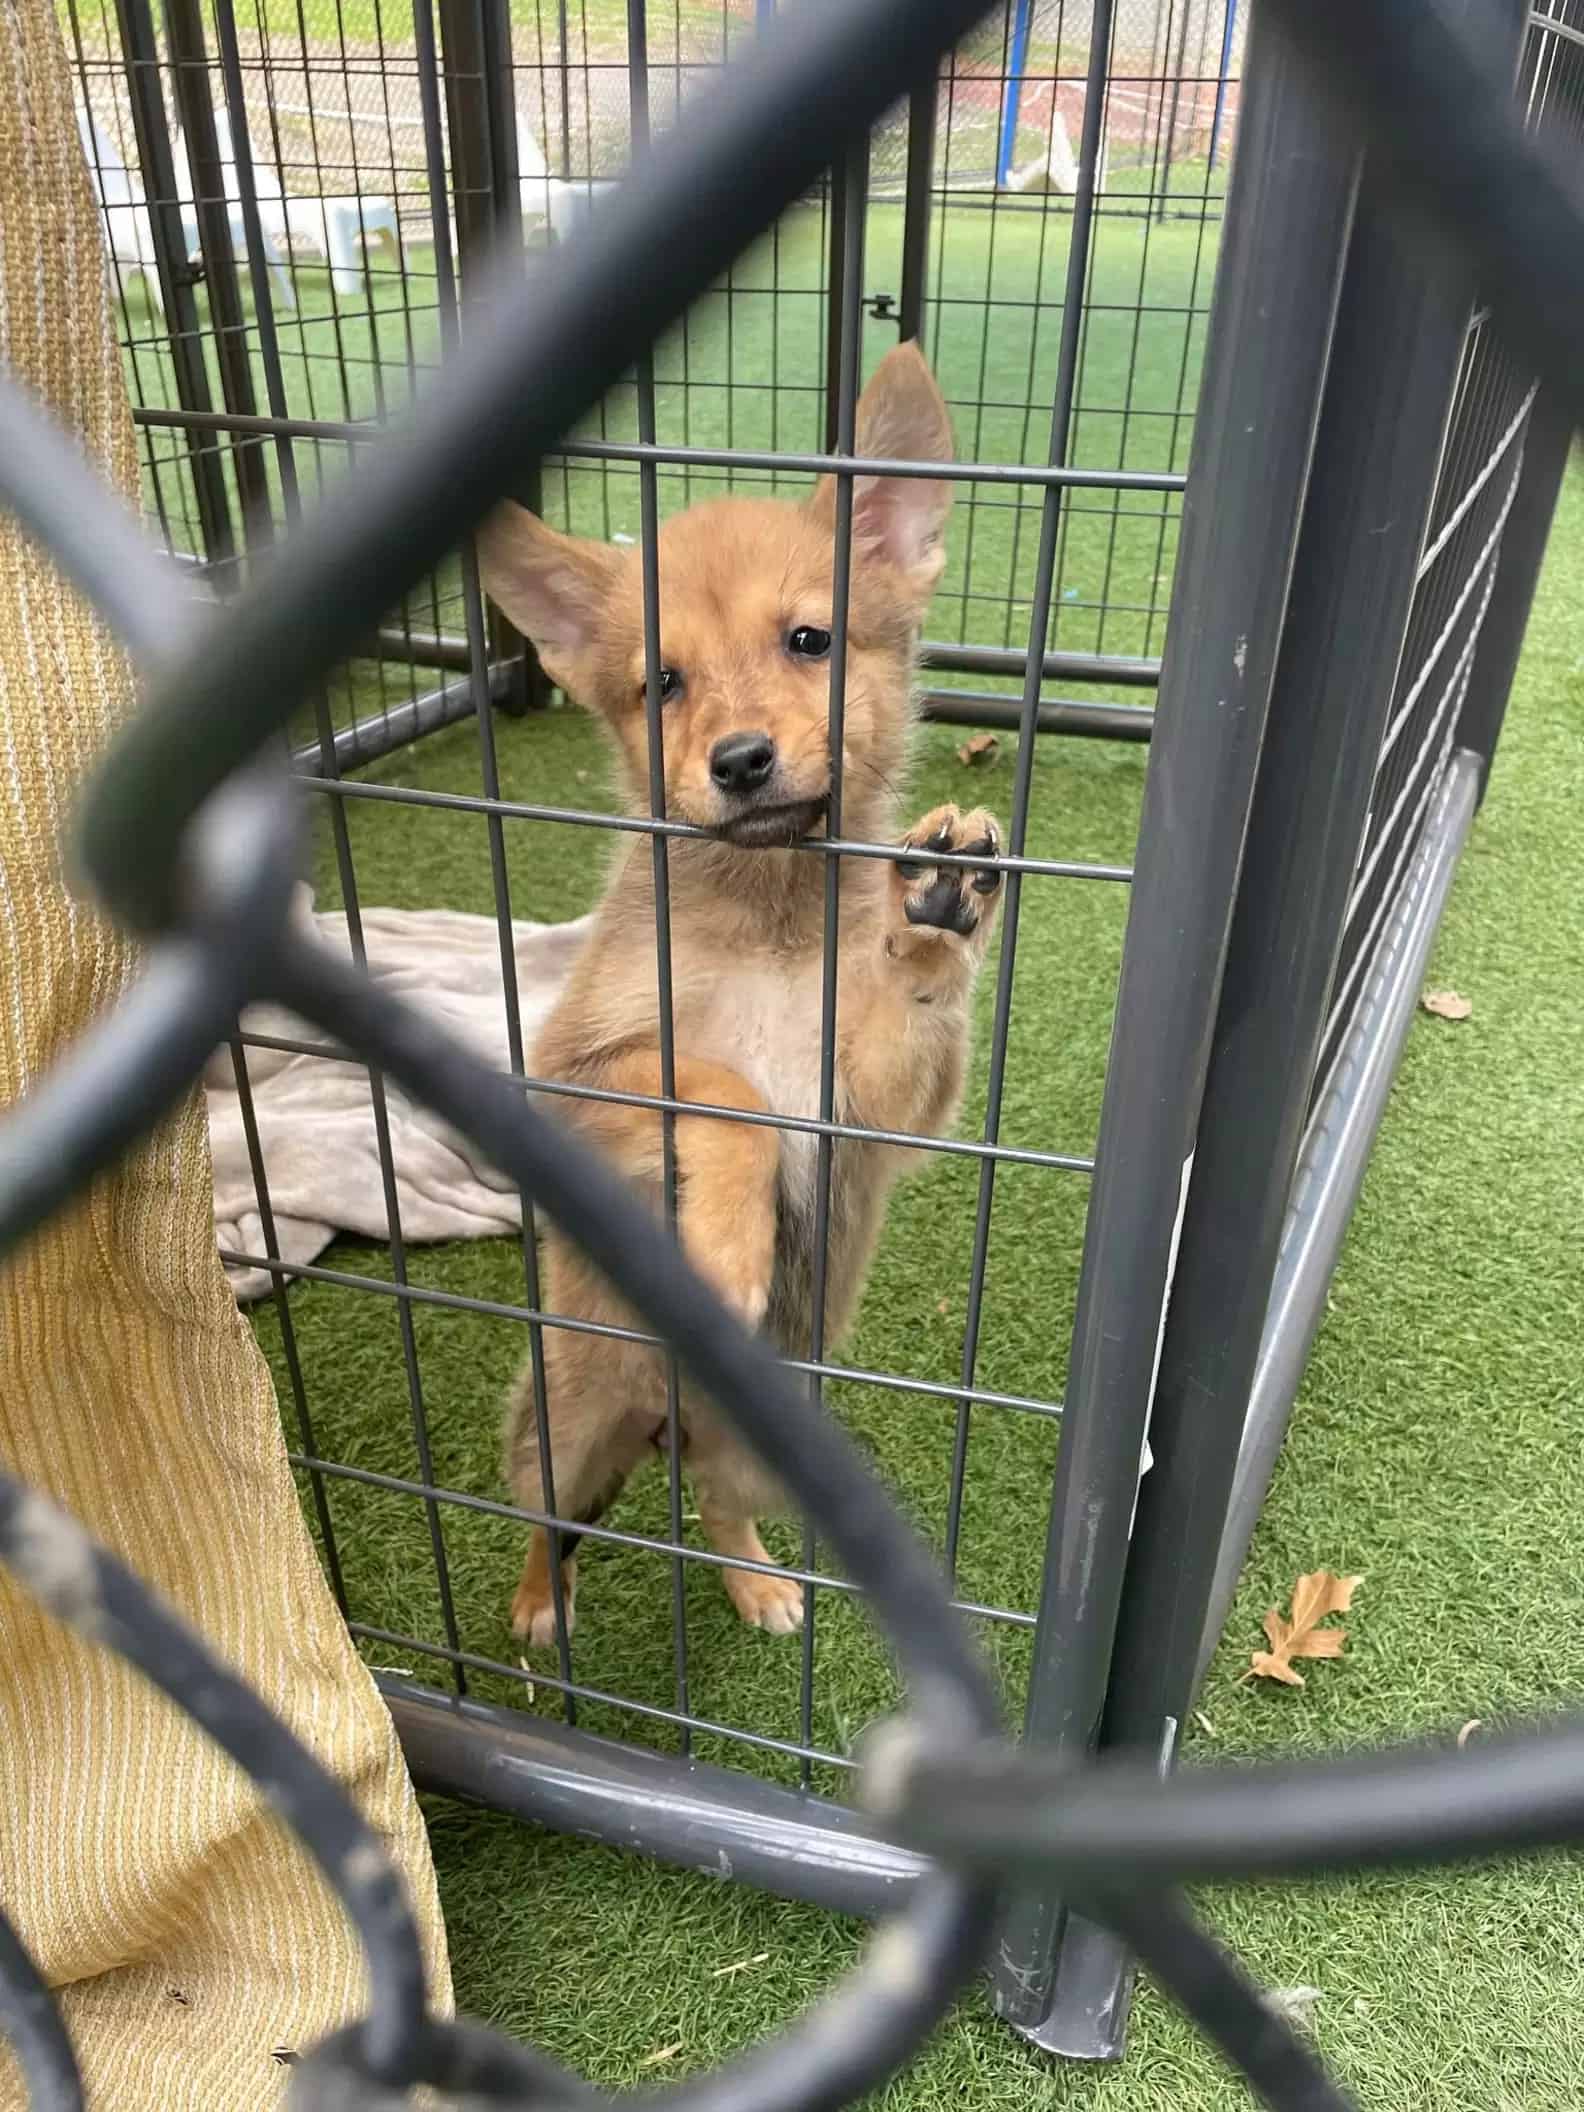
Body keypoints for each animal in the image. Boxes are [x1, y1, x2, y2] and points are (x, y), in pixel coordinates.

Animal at [481, 337, 1005, 1638]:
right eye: (660, 683)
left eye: (811, 642)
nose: (740, 761)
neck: (767, 918)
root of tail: (668, 1420)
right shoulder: (576, 1072)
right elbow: (725, 1087)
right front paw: (724, 1248)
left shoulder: (869, 1112)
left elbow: (875, 1038)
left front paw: (930, 918)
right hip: (567, 1419)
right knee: (550, 1521)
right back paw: (537, 1608)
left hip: (765, 1454)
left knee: (717, 1507)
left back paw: (762, 1583)